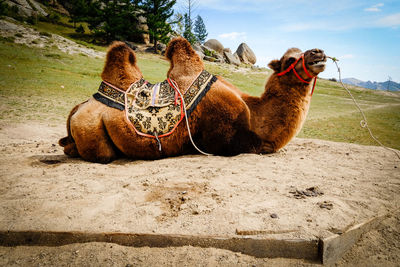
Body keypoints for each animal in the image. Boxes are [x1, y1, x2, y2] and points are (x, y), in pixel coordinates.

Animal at [61, 37, 326, 163]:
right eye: (290, 59)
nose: (319, 52)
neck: (254, 115)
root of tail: (76, 110)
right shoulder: (225, 138)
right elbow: (255, 147)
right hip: (92, 132)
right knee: (97, 154)